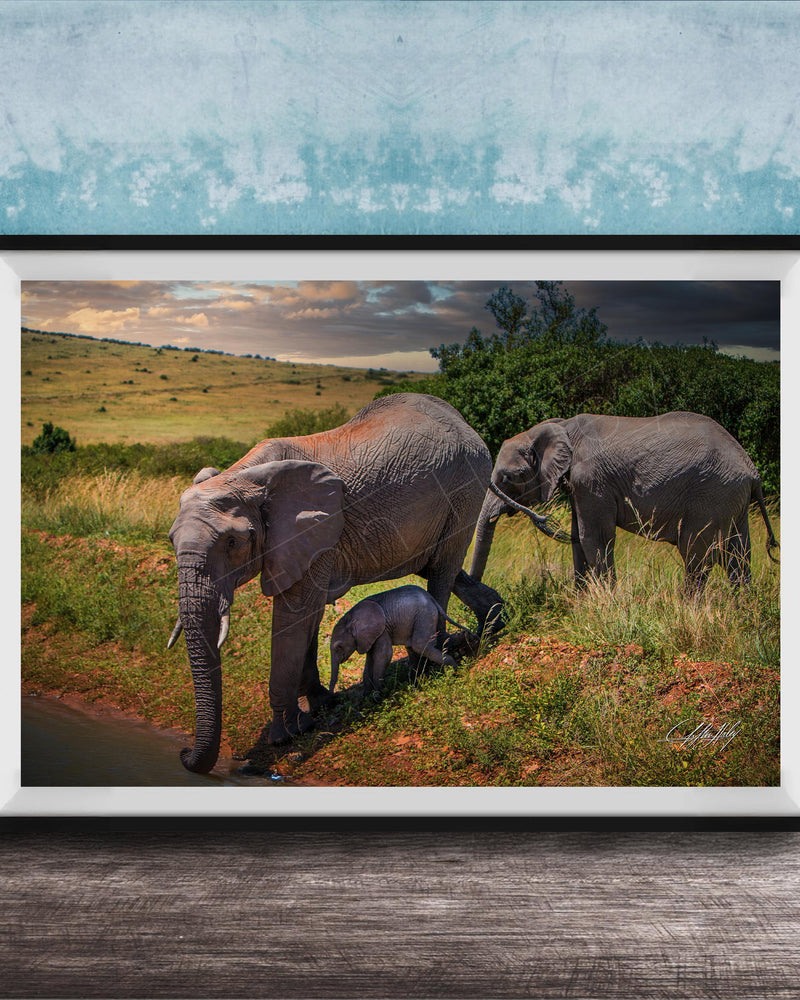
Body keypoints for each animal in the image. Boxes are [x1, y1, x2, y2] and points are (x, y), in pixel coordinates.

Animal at [329, 584, 473, 695]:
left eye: (339, 647)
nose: (332, 697)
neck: (350, 617)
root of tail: (431, 598)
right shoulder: (368, 637)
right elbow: (370, 660)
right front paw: (366, 697)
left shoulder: (382, 630)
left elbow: (384, 655)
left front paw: (378, 695)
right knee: (414, 648)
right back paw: (415, 684)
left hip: (425, 614)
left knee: (420, 646)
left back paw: (454, 670)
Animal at [470, 411, 778, 592]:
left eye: (510, 477)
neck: (560, 427)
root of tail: (752, 471)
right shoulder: (581, 486)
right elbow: (578, 538)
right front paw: (581, 601)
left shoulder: (592, 480)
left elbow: (593, 536)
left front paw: (606, 600)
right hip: (732, 500)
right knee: (738, 555)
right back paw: (740, 608)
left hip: (712, 495)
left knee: (696, 555)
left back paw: (690, 606)